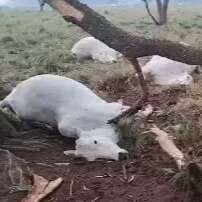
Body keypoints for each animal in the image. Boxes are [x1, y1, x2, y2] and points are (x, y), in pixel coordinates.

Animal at [0, 74, 129, 161]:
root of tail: (10, 97)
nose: (121, 156)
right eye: (95, 158)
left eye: (96, 141)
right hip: (24, 112)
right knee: (24, 121)